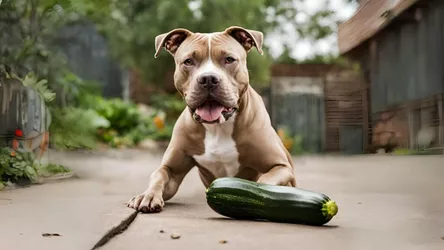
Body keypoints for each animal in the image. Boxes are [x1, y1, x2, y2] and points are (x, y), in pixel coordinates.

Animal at [126, 25, 296, 213]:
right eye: (188, 61)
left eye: (229, 59)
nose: (208, 78)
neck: (217, 128)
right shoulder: (172, 170)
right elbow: (159, 174)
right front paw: (147, 195)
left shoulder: (281, 167)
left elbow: (264, 183)